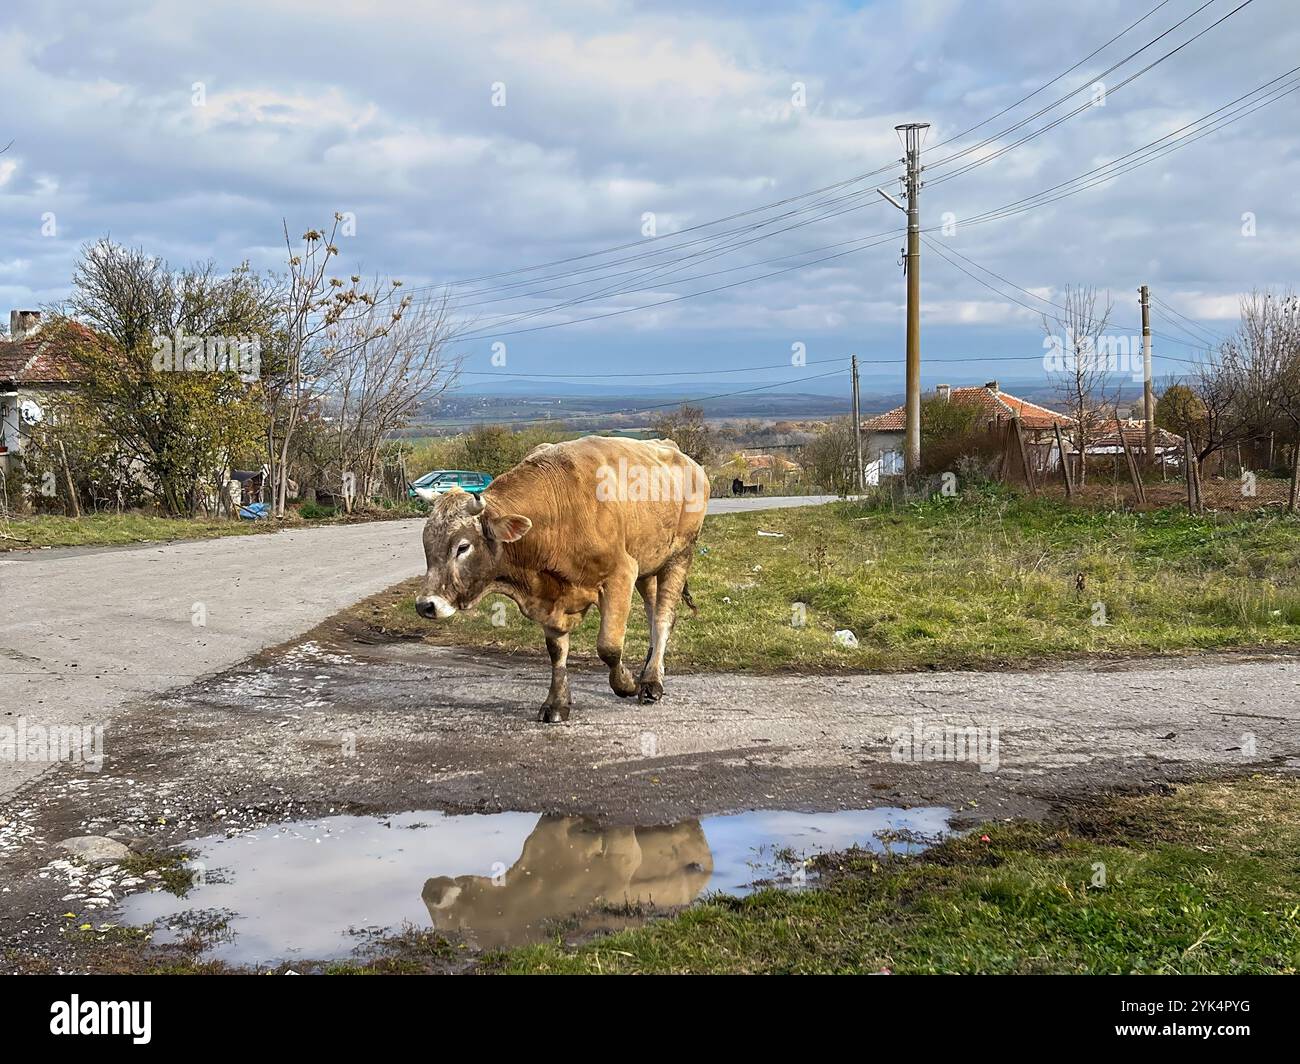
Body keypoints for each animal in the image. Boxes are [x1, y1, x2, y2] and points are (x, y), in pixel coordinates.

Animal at [415, 436, 708, 722]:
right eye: (427, 542)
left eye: (462, 547)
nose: (425, 605)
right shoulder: (551, 597)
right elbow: (557, 651)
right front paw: (556, 703)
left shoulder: (621, 574)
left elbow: (609, 647)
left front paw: (626, 683)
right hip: (648, 565)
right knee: (651, 612)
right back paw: (649, 669)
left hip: (679, 556)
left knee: (663, 618)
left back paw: (651, 682)